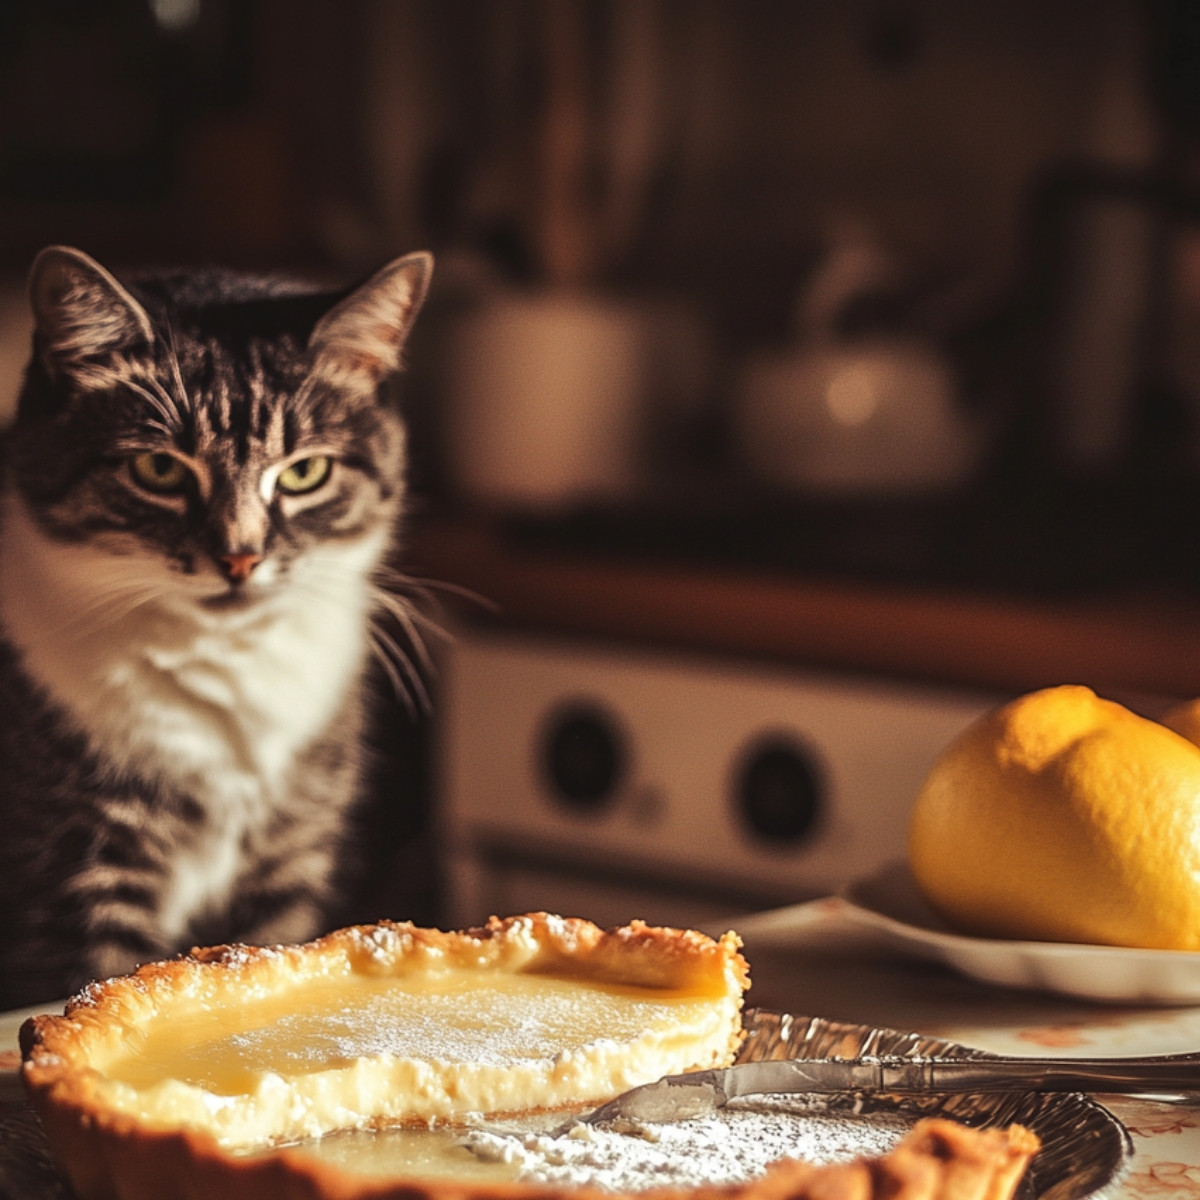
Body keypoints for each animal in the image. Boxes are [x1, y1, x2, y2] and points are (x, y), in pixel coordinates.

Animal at [0, 238, 436, 1008]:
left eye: (305, 473)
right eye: (159, 470)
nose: (240, 556)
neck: (225, 664)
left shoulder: (291, 858)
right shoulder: (69, 882)